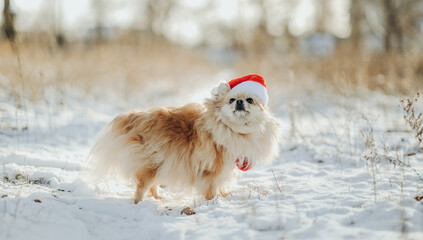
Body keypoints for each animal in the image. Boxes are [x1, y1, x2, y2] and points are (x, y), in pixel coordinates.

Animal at [88, 74, 282, 203]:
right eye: (231, 100)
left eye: (250, 100)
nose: (239, 102)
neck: (234, 129)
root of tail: (134, 117)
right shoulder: (213, 169)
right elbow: (211, 187)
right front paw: (213, 201)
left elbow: (220, 185)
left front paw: (223, 196)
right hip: (152, 164)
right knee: (142, 187)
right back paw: (139, 203)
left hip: (158, 164)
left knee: (152, 185)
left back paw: (158, 198)